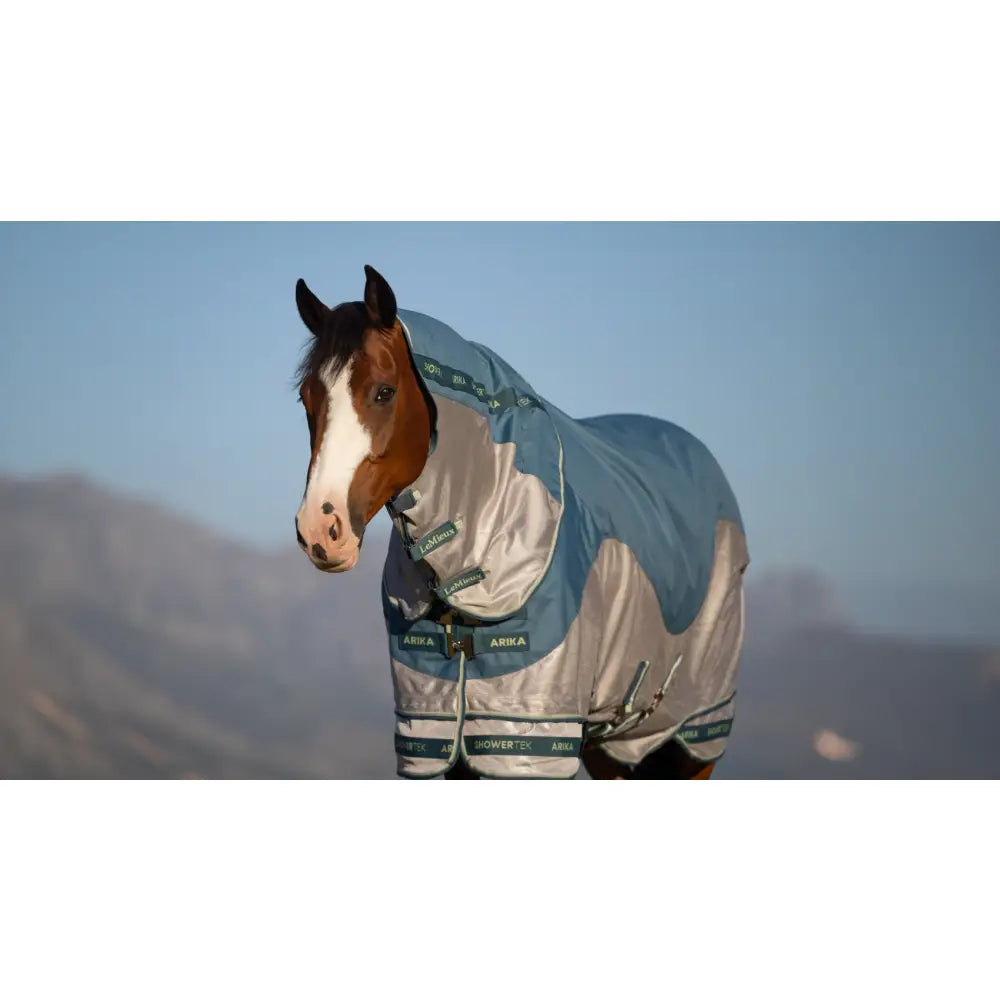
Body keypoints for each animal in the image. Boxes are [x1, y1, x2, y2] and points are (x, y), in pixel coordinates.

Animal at [293, 265, 749, 780]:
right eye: (306, 399)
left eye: (384, 391)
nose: (320, 531)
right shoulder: (437, 731)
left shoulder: (530, 738)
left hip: (695, 733)